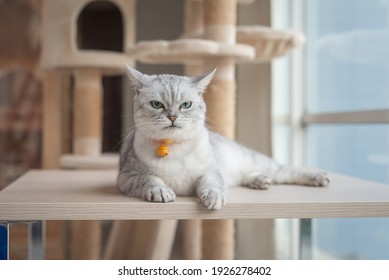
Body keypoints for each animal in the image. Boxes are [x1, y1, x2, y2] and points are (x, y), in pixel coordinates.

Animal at [117, 65, 328, 210]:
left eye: (185, 105)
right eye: (156, 105)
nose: (172, 117)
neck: (174, 147)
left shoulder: (210, 171)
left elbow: (213, 183)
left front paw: (214, 196)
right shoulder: (128, 177)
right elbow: (151, 179)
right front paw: (161, 191)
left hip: (257, 161)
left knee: (285, 171)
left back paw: (318, 177)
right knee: (248, 176)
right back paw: (259, 180)